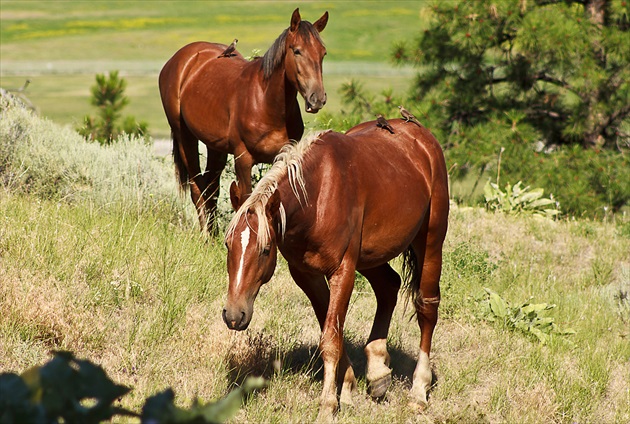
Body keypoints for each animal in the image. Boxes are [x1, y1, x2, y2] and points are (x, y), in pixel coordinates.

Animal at [159, 7, 330, 232]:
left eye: (323, 52)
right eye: (297, 51)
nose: (317, 98)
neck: (267, 103)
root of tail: (179, 60)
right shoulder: (243, 159)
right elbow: (246, 200)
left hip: (216, 147)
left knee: (211, 190)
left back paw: (213, 234)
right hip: (184, 137)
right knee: (198, 189)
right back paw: (205, 234)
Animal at [222, 119, 450, 420]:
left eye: (265, 249)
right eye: (227, 244)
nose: (233, 315)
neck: (317, 196)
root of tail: (421, 134)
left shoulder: (343, 271)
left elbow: (330, 339)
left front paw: (328, 406)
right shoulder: (306, 274)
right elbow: (332, 330)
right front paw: (348, 387)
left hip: (430, 241)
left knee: (427, 308)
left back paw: (419, 390)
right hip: (371, 257)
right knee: (389, 286)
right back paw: (378, 371)